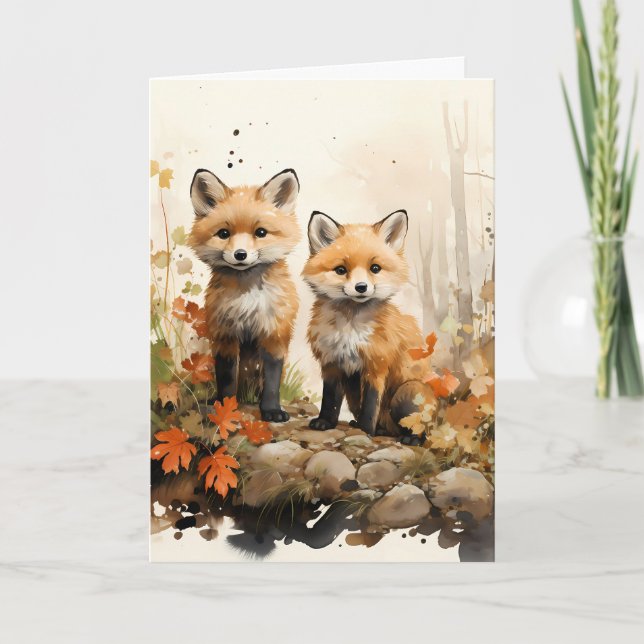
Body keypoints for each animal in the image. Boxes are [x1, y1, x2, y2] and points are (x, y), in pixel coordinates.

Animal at [188, 168, 301, 422]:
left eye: (261, 232)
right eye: (223, 233)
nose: (240, 254)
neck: (247, 298)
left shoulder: (273, 334)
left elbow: (271, 382)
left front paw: (271, 410)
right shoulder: (224, 335)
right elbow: (227, 377)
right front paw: (224, 407)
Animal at [302, 209, 435, 445]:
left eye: (375, 268)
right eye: (341, 270)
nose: (361, 287)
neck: (350, 329)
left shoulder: (376, 366)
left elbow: (370, 406)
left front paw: (364, 431)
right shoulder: (332, 363)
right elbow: (330, 400)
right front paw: (325, 422)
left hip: (408, 391)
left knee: (416, 427)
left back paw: (411, 438)